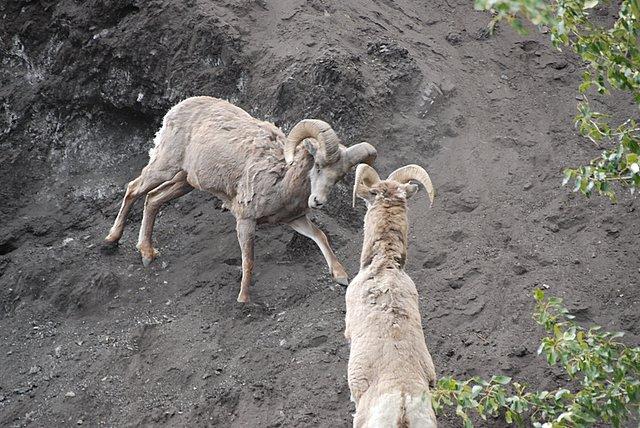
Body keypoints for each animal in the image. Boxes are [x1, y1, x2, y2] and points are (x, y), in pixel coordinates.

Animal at [102, 95, 378, 302]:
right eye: (318, 165)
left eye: (339, 176)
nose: (318, 201)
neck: (281, 179)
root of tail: (175, 109)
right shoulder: (245, 220)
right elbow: (249, 261)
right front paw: (243, 299)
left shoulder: (294, 220)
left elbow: (320, 236)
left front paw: (341, 277)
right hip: (164, 167)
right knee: (134, 189)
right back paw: (111, 240)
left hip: (184, 182)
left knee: (153, 199)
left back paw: (147, 253)